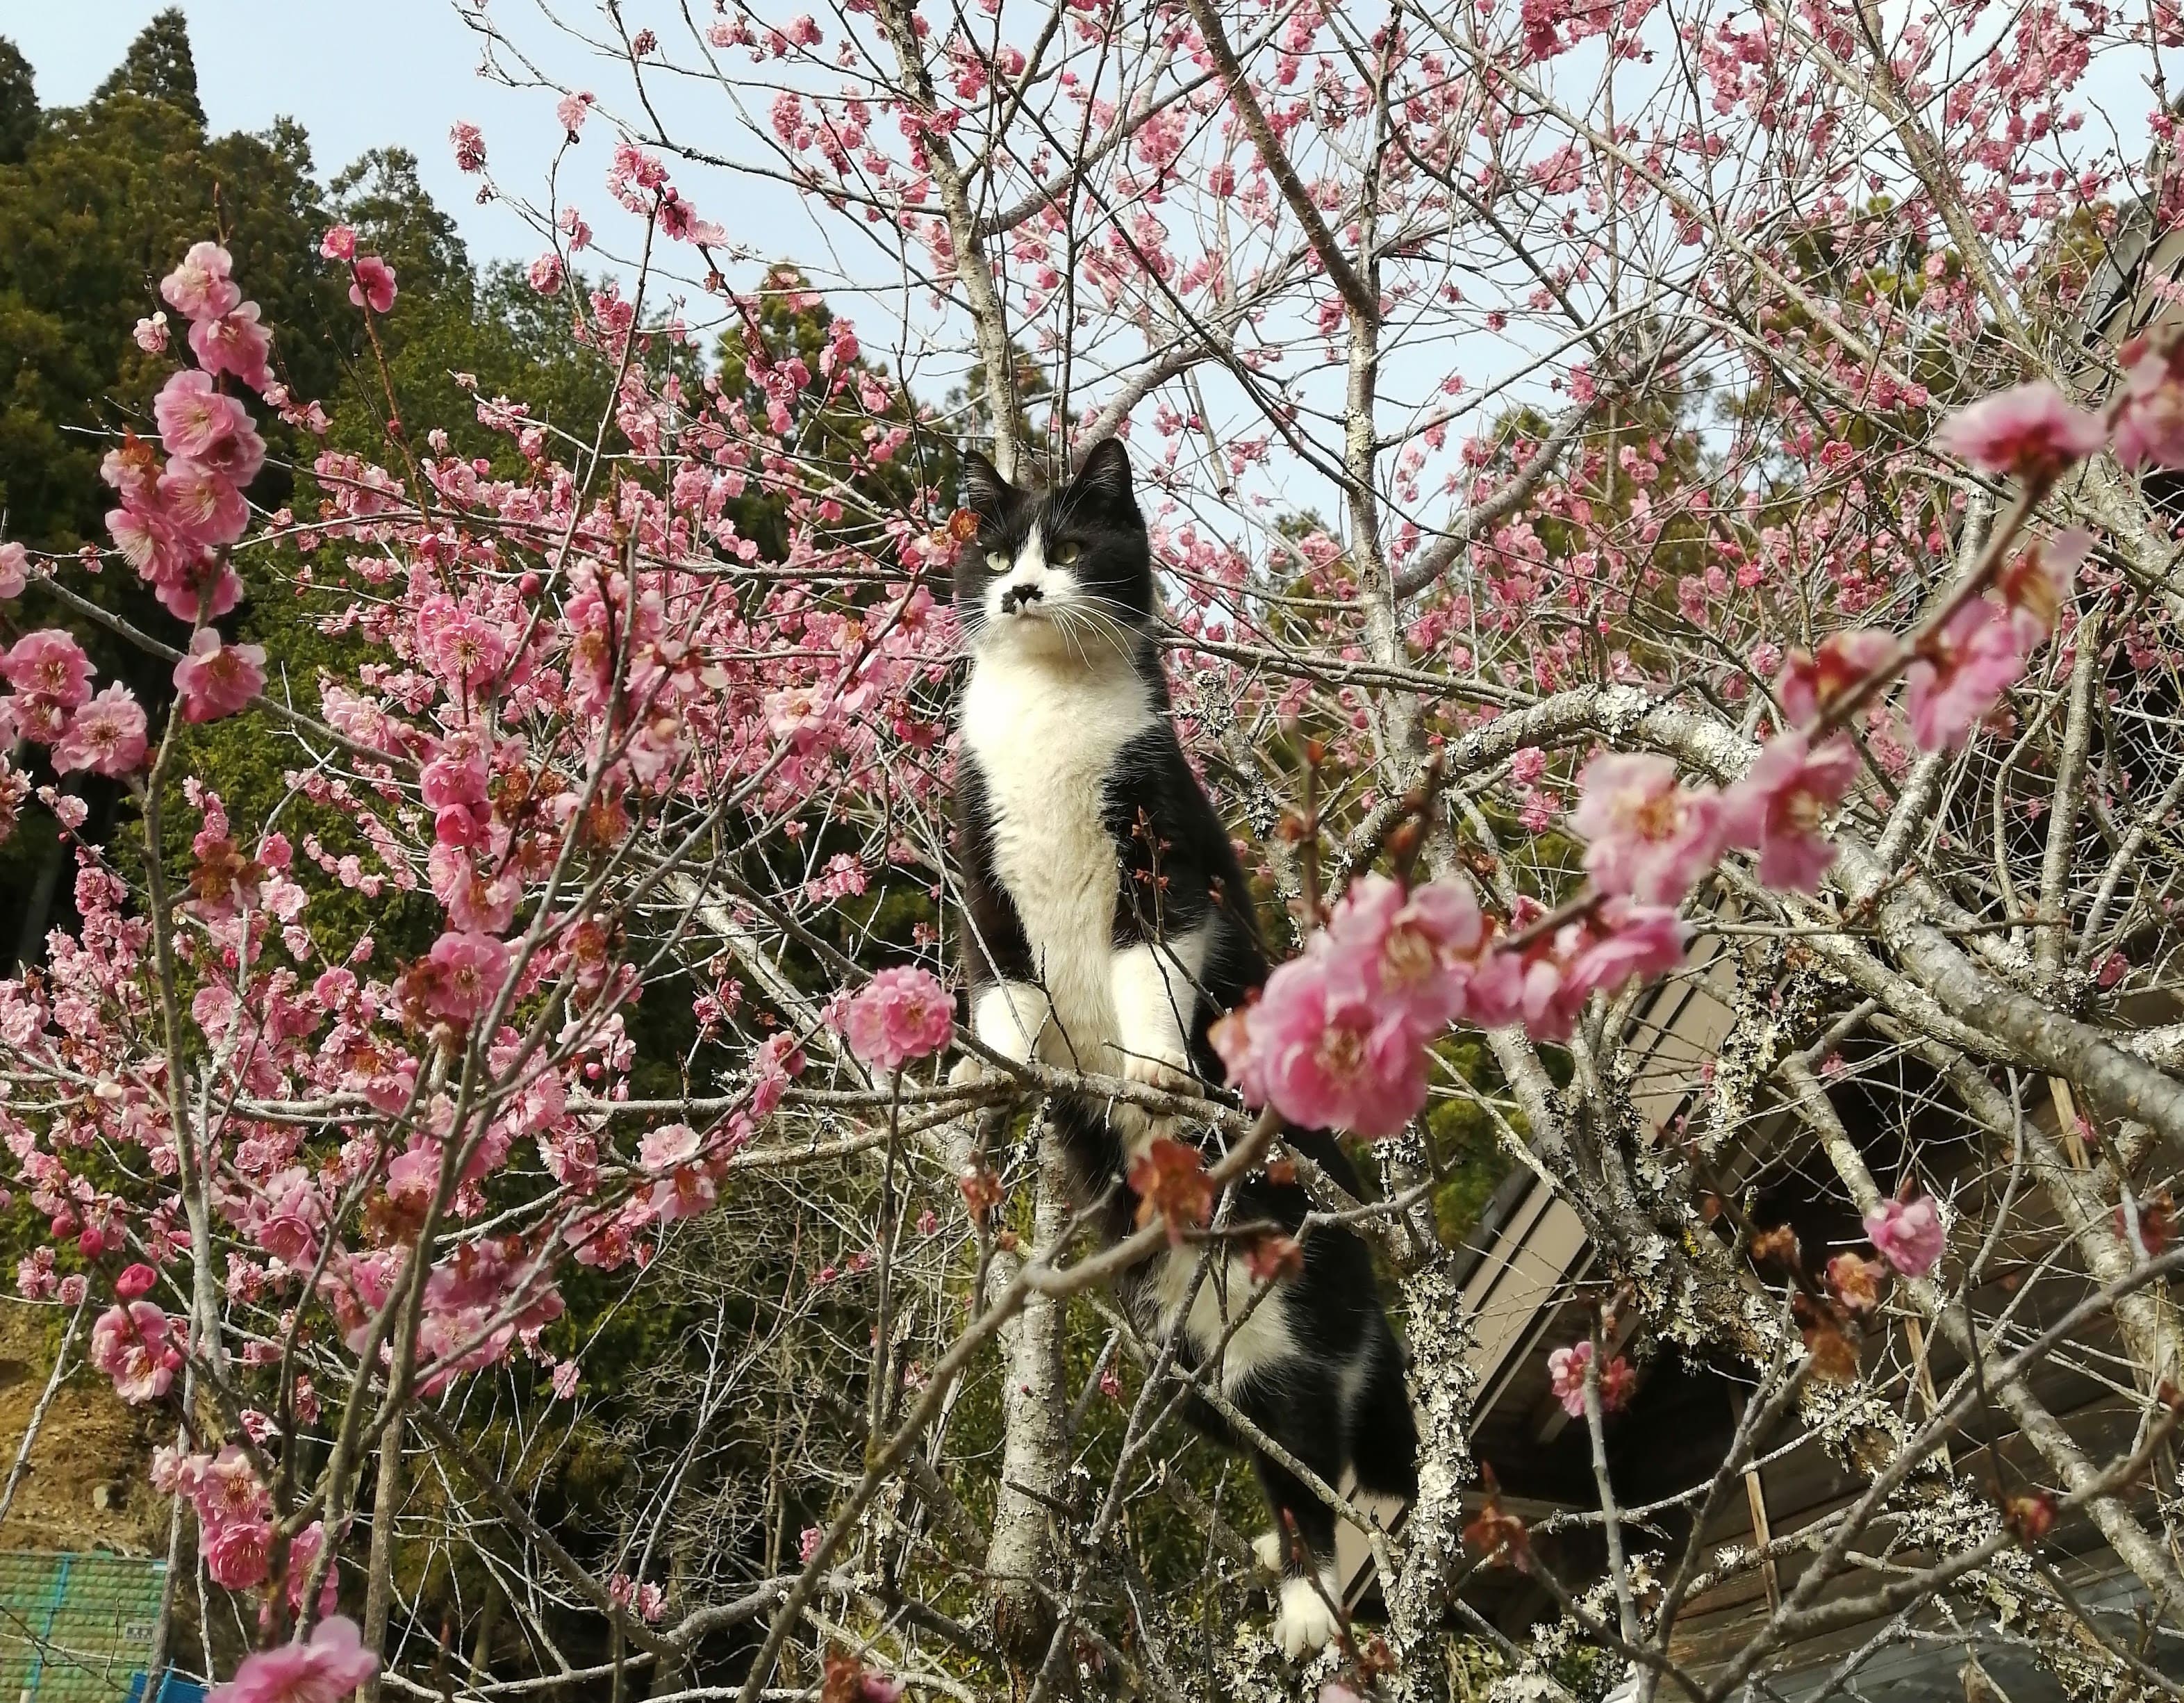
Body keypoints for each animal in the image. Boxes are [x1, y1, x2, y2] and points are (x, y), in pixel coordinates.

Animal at [952, 436, 1415, 1650]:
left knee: (1333, 1448)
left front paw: (1155, 1073)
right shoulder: (984, 867)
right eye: (993, 552)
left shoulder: (1162, 849)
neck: (1048, 720)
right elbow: (1005, 994)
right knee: (1279, 1457)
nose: (1022, 591)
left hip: (1299, 1300)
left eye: (1070, 546)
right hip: (1187, 1371)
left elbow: (1148, 972)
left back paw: (1321, 1586)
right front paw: (988, 1071)